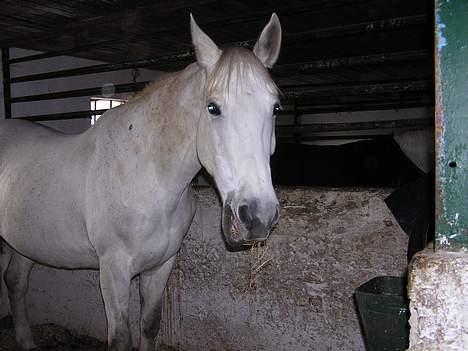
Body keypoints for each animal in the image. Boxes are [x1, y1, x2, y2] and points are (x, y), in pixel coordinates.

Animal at [0, 15, 282, 350]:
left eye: (275, 107)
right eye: (213, 107)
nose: (258, 215)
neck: (149, 181)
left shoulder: (161, 266)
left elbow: (149, 324)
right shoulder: (113, 271)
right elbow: (121, 337)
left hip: (25, 242)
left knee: (16, 280)